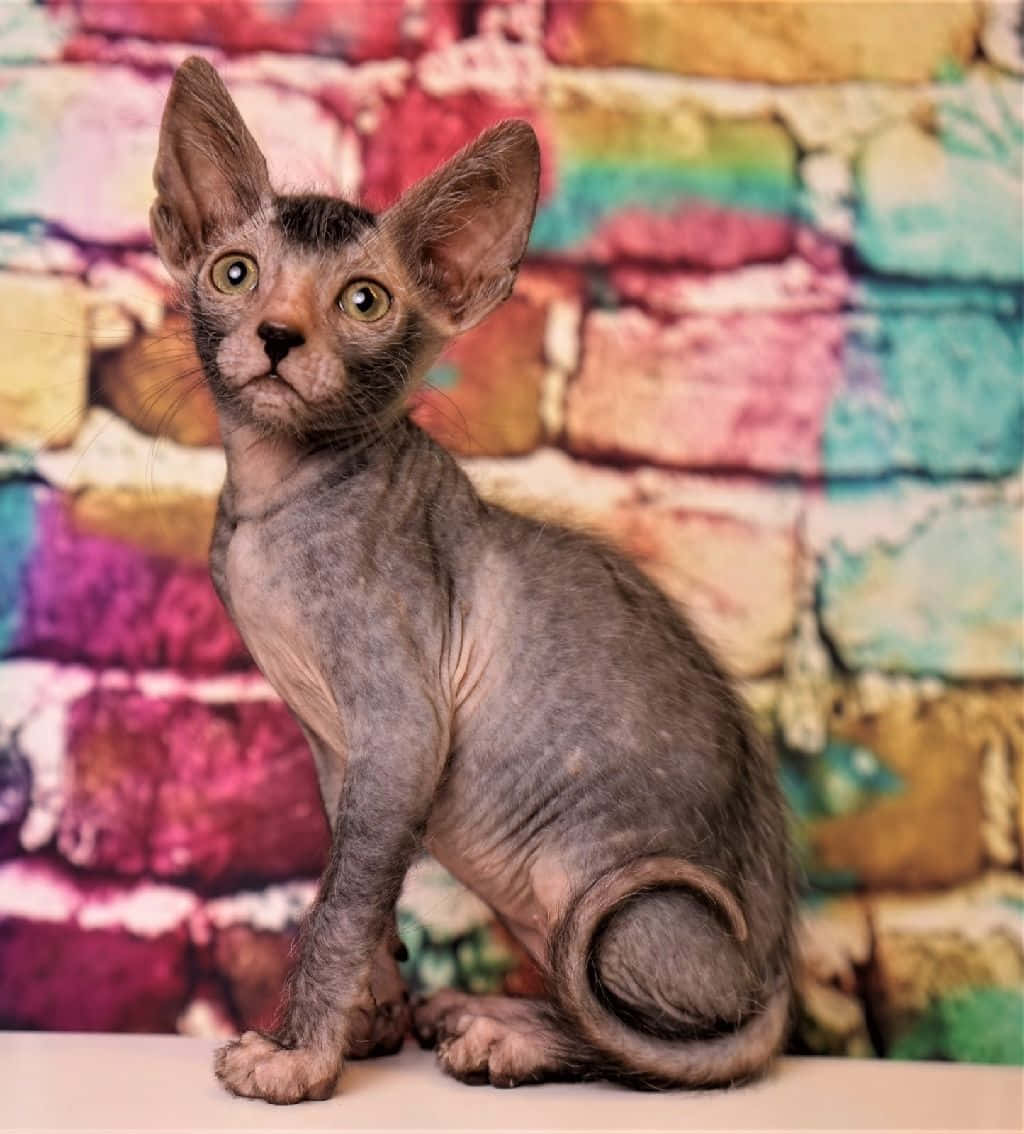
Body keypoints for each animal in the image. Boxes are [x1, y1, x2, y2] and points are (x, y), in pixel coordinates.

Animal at [151, 57, 798, 1102]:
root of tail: (775, 968)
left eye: (364, 301)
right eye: (235, 272)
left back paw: (510, 1033)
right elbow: (358, 879)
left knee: (641, 1033)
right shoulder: (340, 749)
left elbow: (340, 903)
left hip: (591, 890)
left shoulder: (403, 728)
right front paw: (369, 1018)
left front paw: (296, 1057)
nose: (279, 337)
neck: (278, 494)